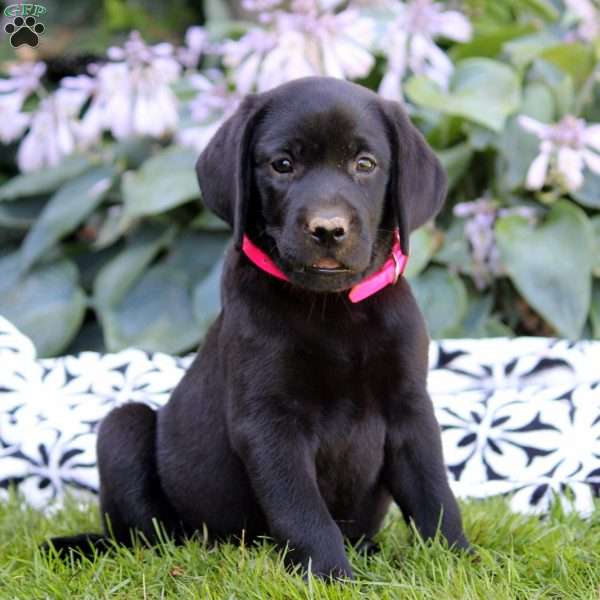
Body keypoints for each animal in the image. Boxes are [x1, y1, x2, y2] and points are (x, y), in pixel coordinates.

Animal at [45, 76, 468, 580]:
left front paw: (461, 560)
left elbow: (434, 493)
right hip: (123, 432)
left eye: (364, 164)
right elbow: (301, 508)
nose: (328, 229)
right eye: (282, 164)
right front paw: (331, 576)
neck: (333, 309)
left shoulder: (410, 408)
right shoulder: (268, 421)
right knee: (145, 535)